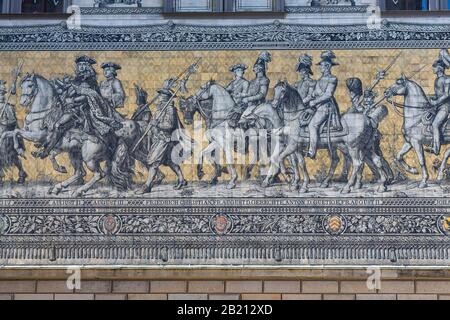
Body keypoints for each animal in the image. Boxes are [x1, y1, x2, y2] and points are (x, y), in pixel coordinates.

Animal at [0, 73, 141, 196]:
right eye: (21, 85)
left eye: (30, 85)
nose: (23, 102)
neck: (44, 111)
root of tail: (113, 138)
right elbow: (9, 133)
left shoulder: (38, 135)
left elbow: (16, 132)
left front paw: (20, 150)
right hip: (75, 154)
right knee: (80, 172)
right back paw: (58, 187)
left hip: (88, 158)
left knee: (98, 174)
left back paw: (78, 191)